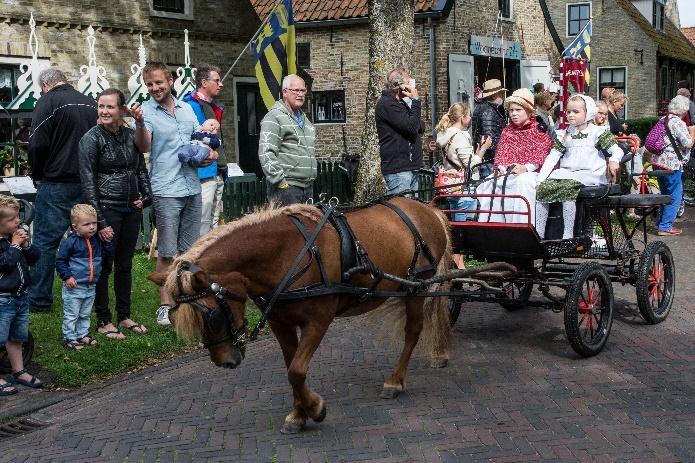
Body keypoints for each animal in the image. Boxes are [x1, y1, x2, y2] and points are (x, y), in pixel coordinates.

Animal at [150, 197, 454, 436]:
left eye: (212, 315)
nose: (224, 361)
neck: (287, 254)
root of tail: (429, 209)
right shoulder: (280, 322)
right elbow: (290, 368)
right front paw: (298, 414)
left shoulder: (319, 320)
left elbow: (296, 370)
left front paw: (315, 409)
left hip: (418, 287)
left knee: (413, 331)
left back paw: (395, 381)